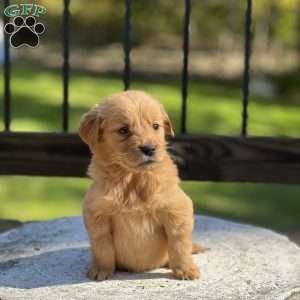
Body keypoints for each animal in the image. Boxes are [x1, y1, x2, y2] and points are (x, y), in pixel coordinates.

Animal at [79, 90, 205, 280]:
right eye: (123, 130)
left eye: (155, 126)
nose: (149, 148)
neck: (133, 180)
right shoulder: (97, 213)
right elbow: (102, 246)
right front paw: (101, 269)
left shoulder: (177, 210)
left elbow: (179, 244)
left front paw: (186, 269)